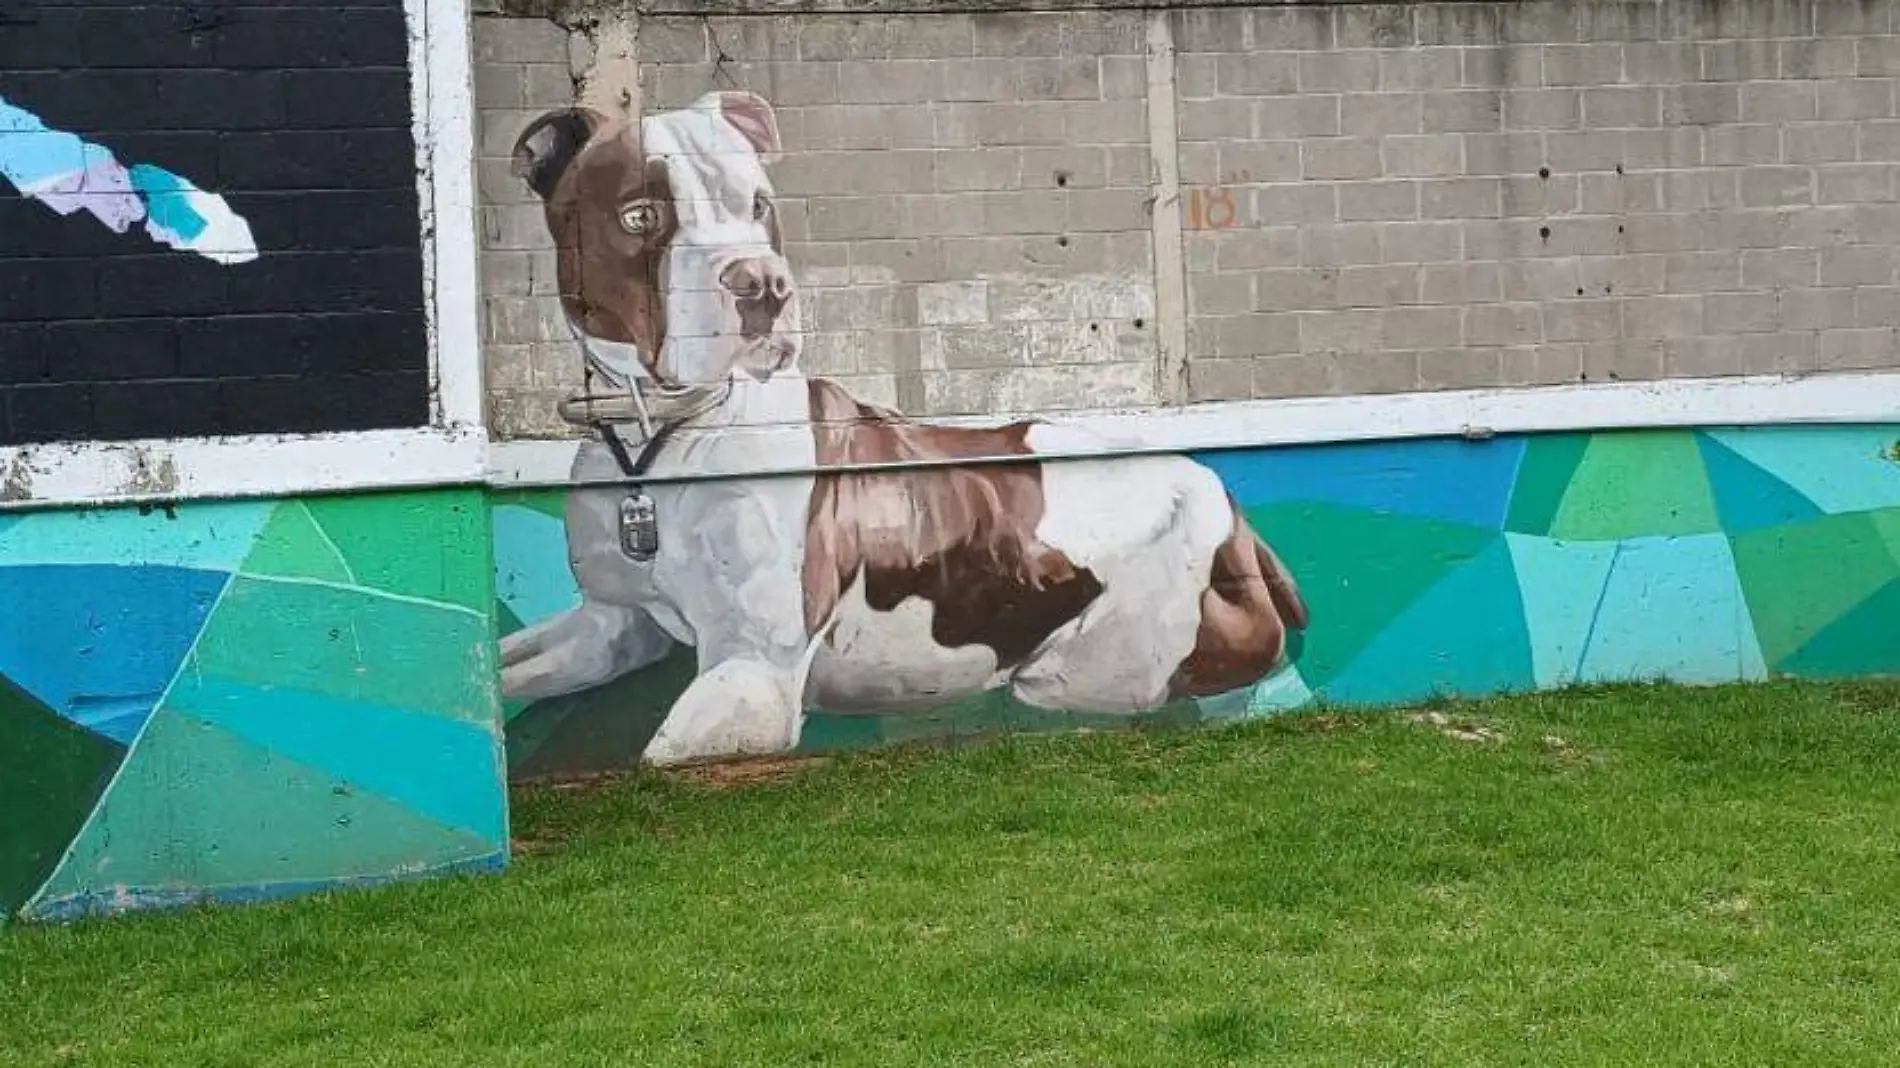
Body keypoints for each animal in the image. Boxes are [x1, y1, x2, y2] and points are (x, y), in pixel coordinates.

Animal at [497, 89, 1314, 756]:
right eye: (640, 216)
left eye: (759, 205)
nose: (763, 284)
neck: (660, 439)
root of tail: (1230, 506)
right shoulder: (611, 622)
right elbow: (502, 671)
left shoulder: (751, 672)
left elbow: (658, 753)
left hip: (1093, 663)